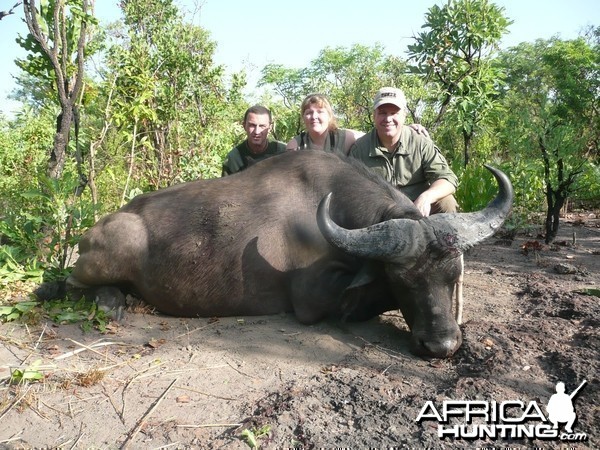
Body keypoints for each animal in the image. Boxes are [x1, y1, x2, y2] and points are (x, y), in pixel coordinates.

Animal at [68, 151, 512, 358]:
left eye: (452, 277)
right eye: (402, 280)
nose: (440, 346)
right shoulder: (312, 302)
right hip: (109, 251)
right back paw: (110, 301)